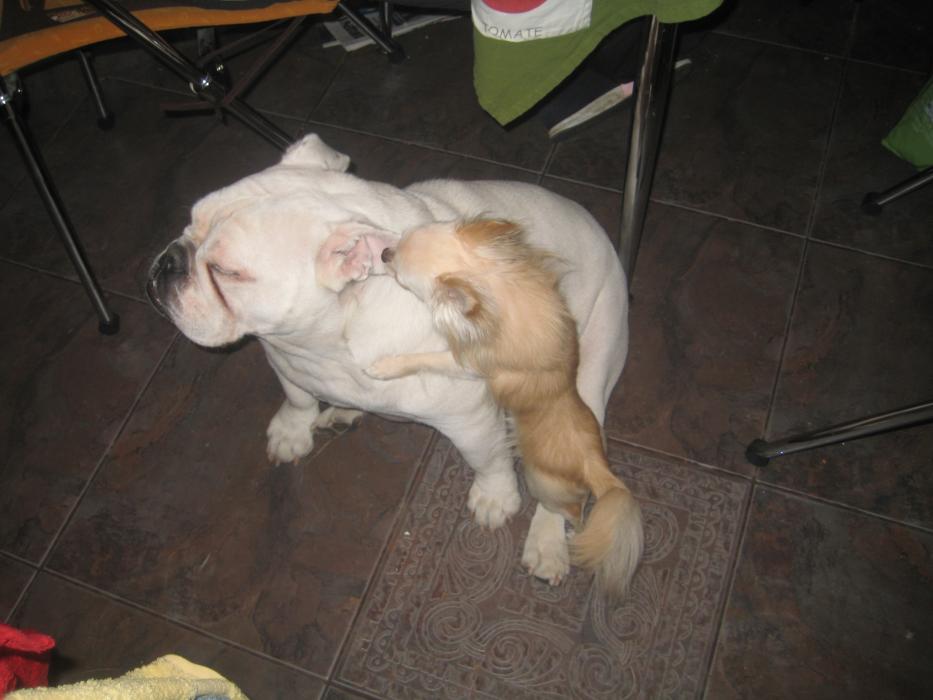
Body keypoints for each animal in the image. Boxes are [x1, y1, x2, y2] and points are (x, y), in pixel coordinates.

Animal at [366, 219, 643, 596]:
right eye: (402, 236)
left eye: (400, 275)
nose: (383, 252)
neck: (497, 288)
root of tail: (599, 468)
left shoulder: (470, 364)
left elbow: (425, 357)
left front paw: (386, 366)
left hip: (544, 483)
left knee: (574, 508)